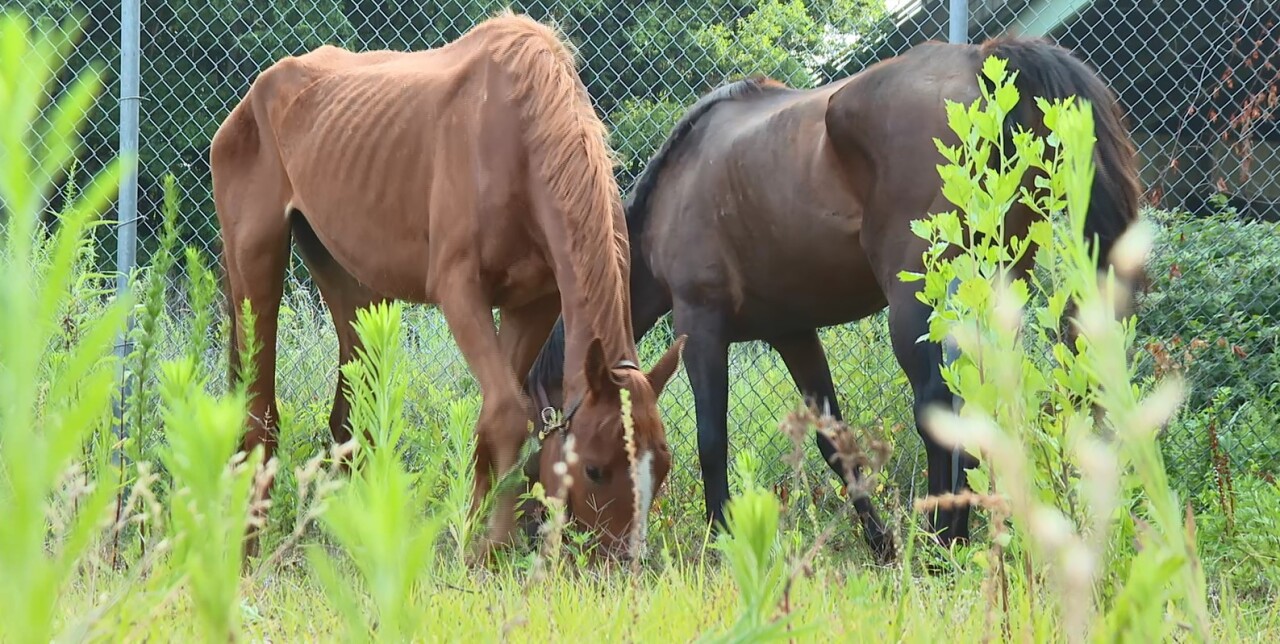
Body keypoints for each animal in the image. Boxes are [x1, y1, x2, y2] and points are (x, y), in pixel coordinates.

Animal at [212, 11, 691, 560]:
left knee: (348, 419)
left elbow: (497, 417)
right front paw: (488, 549)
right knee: (258, 414)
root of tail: (251, 100)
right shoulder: (460, 291)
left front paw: (477, 541)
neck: (521, 138)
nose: (619, 564)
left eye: (663, 465)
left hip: (350, 284)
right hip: (254, 263)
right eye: (595, 468)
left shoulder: (533, 304)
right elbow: (508, 414)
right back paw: (246, 549)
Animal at [519, 35, 1141, 560]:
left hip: (918, 304)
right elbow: (833, 442)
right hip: (990, 288)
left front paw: (723, 541)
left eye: (576, 457)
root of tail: (982, 60)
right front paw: (880, 543)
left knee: (940, 404)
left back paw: (942, 542)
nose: (534, 533)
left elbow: (711, 438)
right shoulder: (793, 334)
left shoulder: (702, 326)